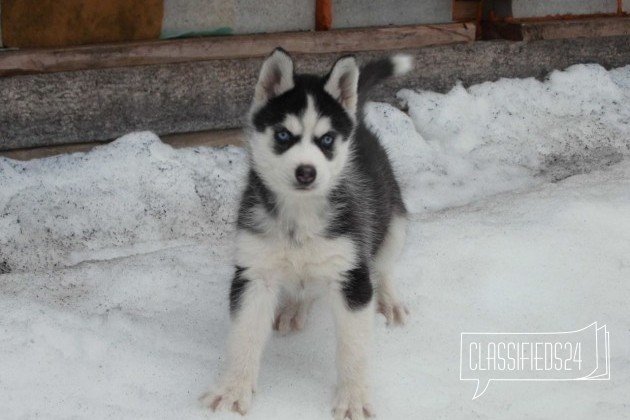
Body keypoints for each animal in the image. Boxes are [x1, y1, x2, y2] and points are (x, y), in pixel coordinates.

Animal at [200, 48, 412, 416]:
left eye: (326, 140)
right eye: (284, 135)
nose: (306, 172)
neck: (300, 215)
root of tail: (358, 121)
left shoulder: (352, 275)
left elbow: (353, 348)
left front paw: (353, 398)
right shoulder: (254, 272)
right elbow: (244, 336)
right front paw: (232, 389)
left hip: (393, 221)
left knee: (384, 266)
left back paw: (389, 300)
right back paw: (293, 307)